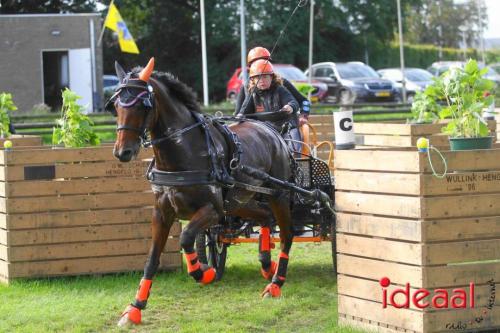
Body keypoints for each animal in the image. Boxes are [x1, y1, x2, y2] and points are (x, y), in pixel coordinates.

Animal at [109, 57, 294, 324]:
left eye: (143, 105)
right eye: (115, 105)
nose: (122, 152)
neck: (185, 151)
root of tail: (271, 130)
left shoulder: (213, 211)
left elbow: (186, 238)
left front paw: (203, 273)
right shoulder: (161, 213)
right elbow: (152, 259)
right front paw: (135, 307)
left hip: (278, 194)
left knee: (287, 234)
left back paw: (276, 283)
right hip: (241, 202)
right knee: (265, 217)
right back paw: (266, 263)